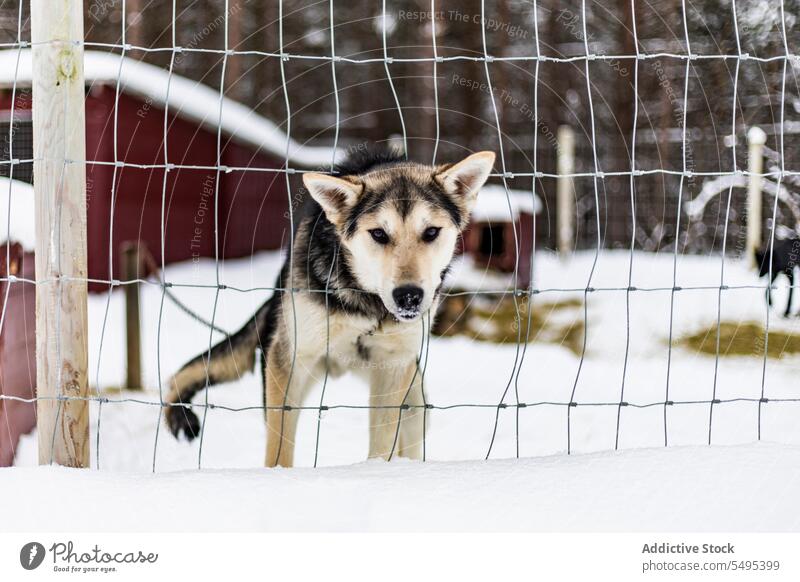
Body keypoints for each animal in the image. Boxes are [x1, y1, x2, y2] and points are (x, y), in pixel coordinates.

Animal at [162, 147, 494, 470]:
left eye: (431, 232)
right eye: (379, 234)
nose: (409, 296)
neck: (366, 305)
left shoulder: (392, 367)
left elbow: (383, 443)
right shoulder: (291, 359)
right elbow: (279, 446)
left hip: (415, 402)